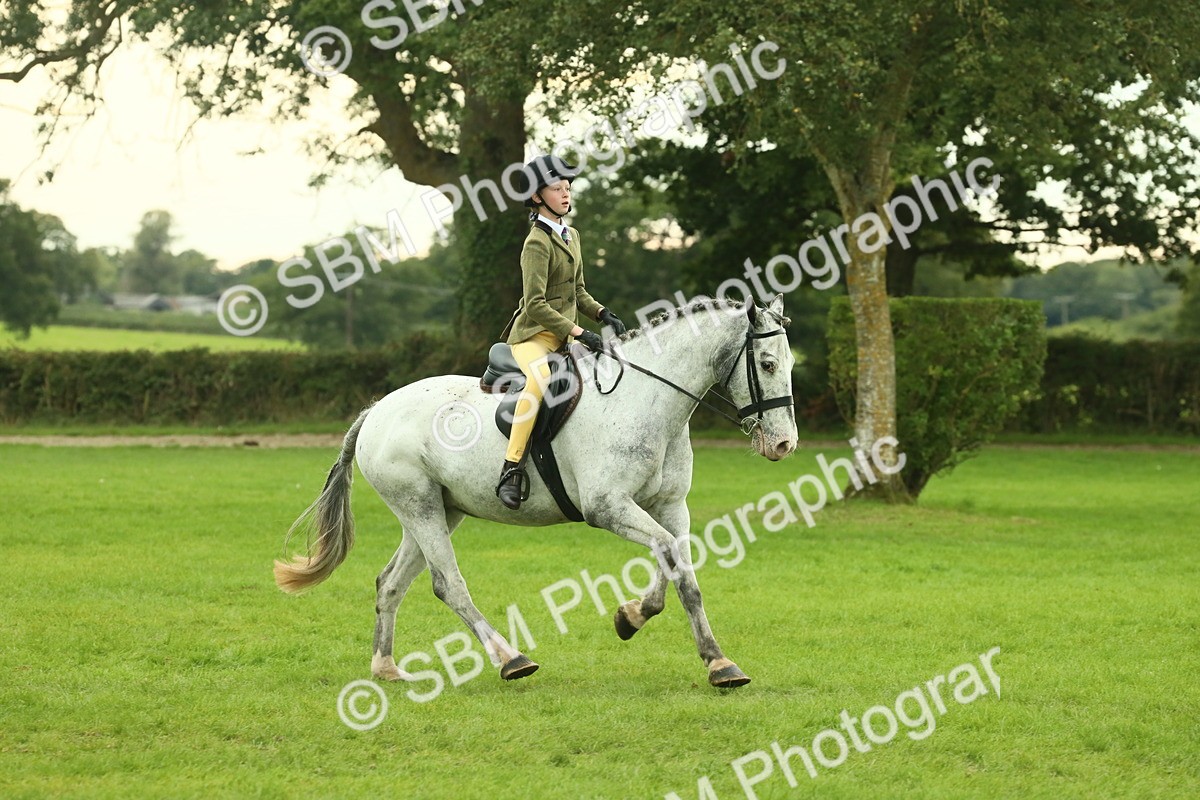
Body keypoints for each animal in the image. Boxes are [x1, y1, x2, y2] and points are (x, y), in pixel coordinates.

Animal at [274, 295, 797, 689]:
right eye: (768, 363)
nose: (784, 444)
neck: (648, 401)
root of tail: (377, 409)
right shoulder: (609, 507)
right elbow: (671, 557)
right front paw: (687, 645)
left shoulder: (670, 507)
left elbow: (681, 569)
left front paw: (666, 634)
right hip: (418, 505)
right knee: (448, 584)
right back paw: (511, 659)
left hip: (438, 510)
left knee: (391, 582)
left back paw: (385, 668)